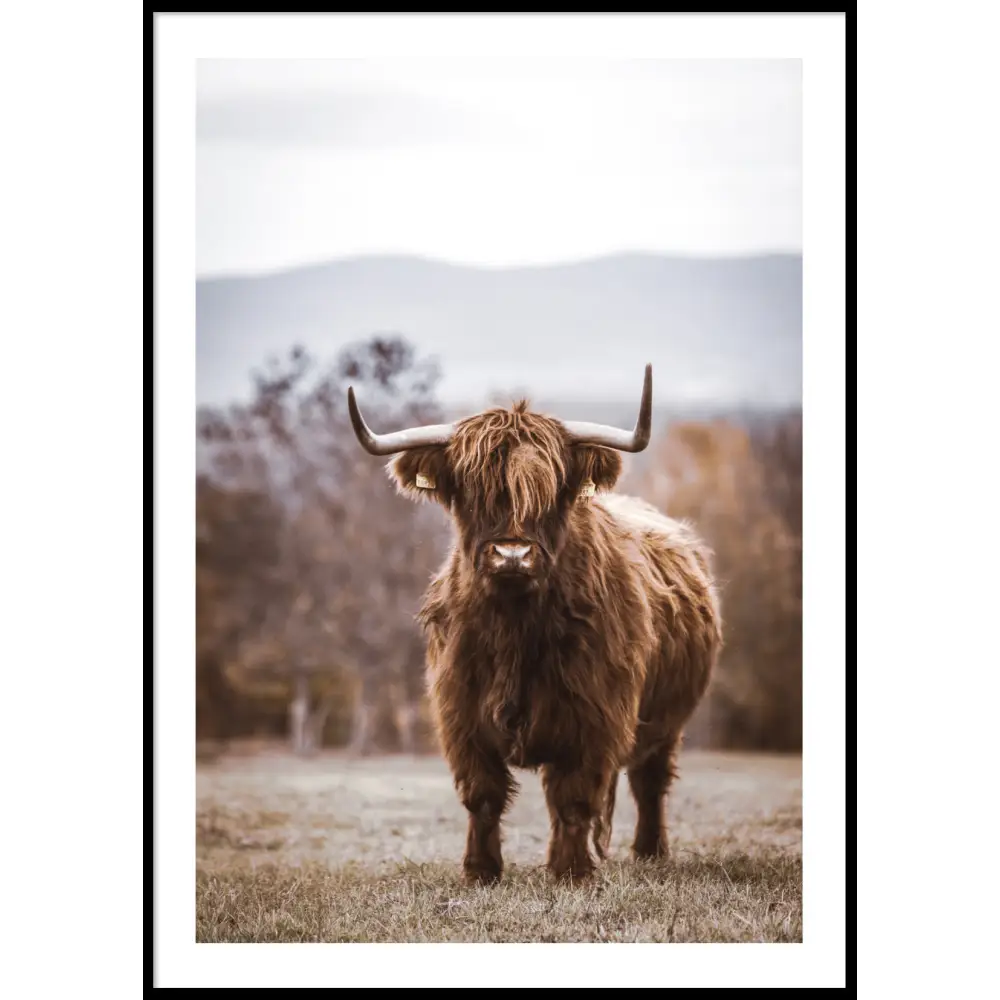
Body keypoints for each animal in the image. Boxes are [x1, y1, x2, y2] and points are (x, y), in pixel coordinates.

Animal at [346, 365, 722, 883]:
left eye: (552, 491)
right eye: (471, 490)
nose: (512, 554)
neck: (514, 629)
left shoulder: (595, 715)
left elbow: (575, 796)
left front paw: (571, 872)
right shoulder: (460, 713)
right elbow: (483, 796)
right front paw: (480, 871)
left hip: (668, 720)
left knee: (649, 781)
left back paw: (650, 852)